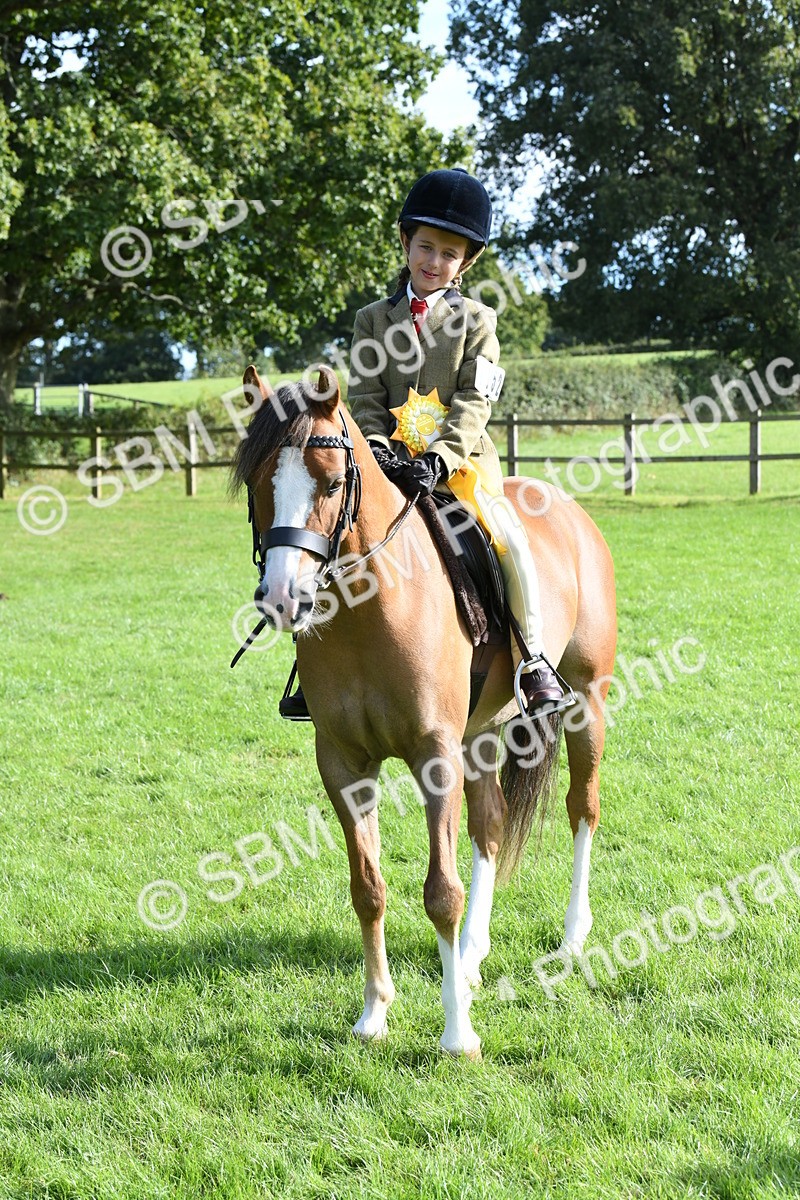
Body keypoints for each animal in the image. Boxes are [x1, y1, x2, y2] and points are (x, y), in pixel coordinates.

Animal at [230, 364, 617, 1059]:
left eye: (332, 483)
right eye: (256, 483)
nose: (282, 598)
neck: (369, 612)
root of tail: (566, 507)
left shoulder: (434, 755)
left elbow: (441, 892)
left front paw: (457, 1034)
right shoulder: (344, 763)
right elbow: (367, 886)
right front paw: (373, 1015)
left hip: (585, 703)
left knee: (583, 808)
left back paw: (572, 940)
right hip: (480, 735)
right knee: (491, 825)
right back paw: (470, 958)